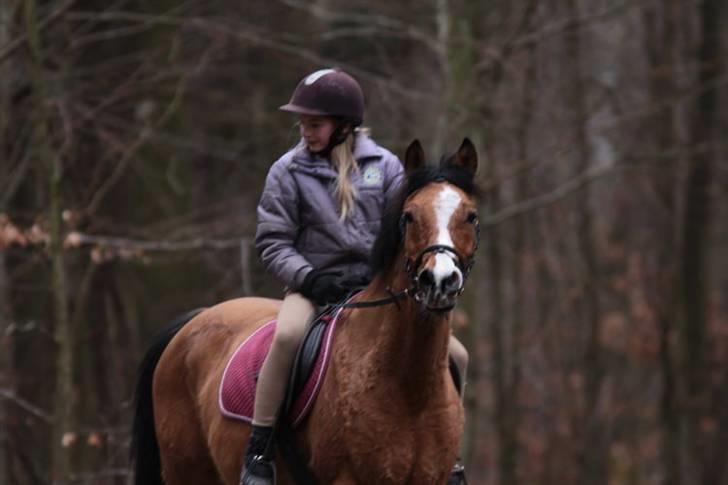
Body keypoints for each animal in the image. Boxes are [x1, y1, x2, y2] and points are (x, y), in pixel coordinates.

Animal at [131, 138, 480, 482]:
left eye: (471, 216)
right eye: (408, 216)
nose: (439, 280)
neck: (409, 388)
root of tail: (194, 321)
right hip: (187, 470)